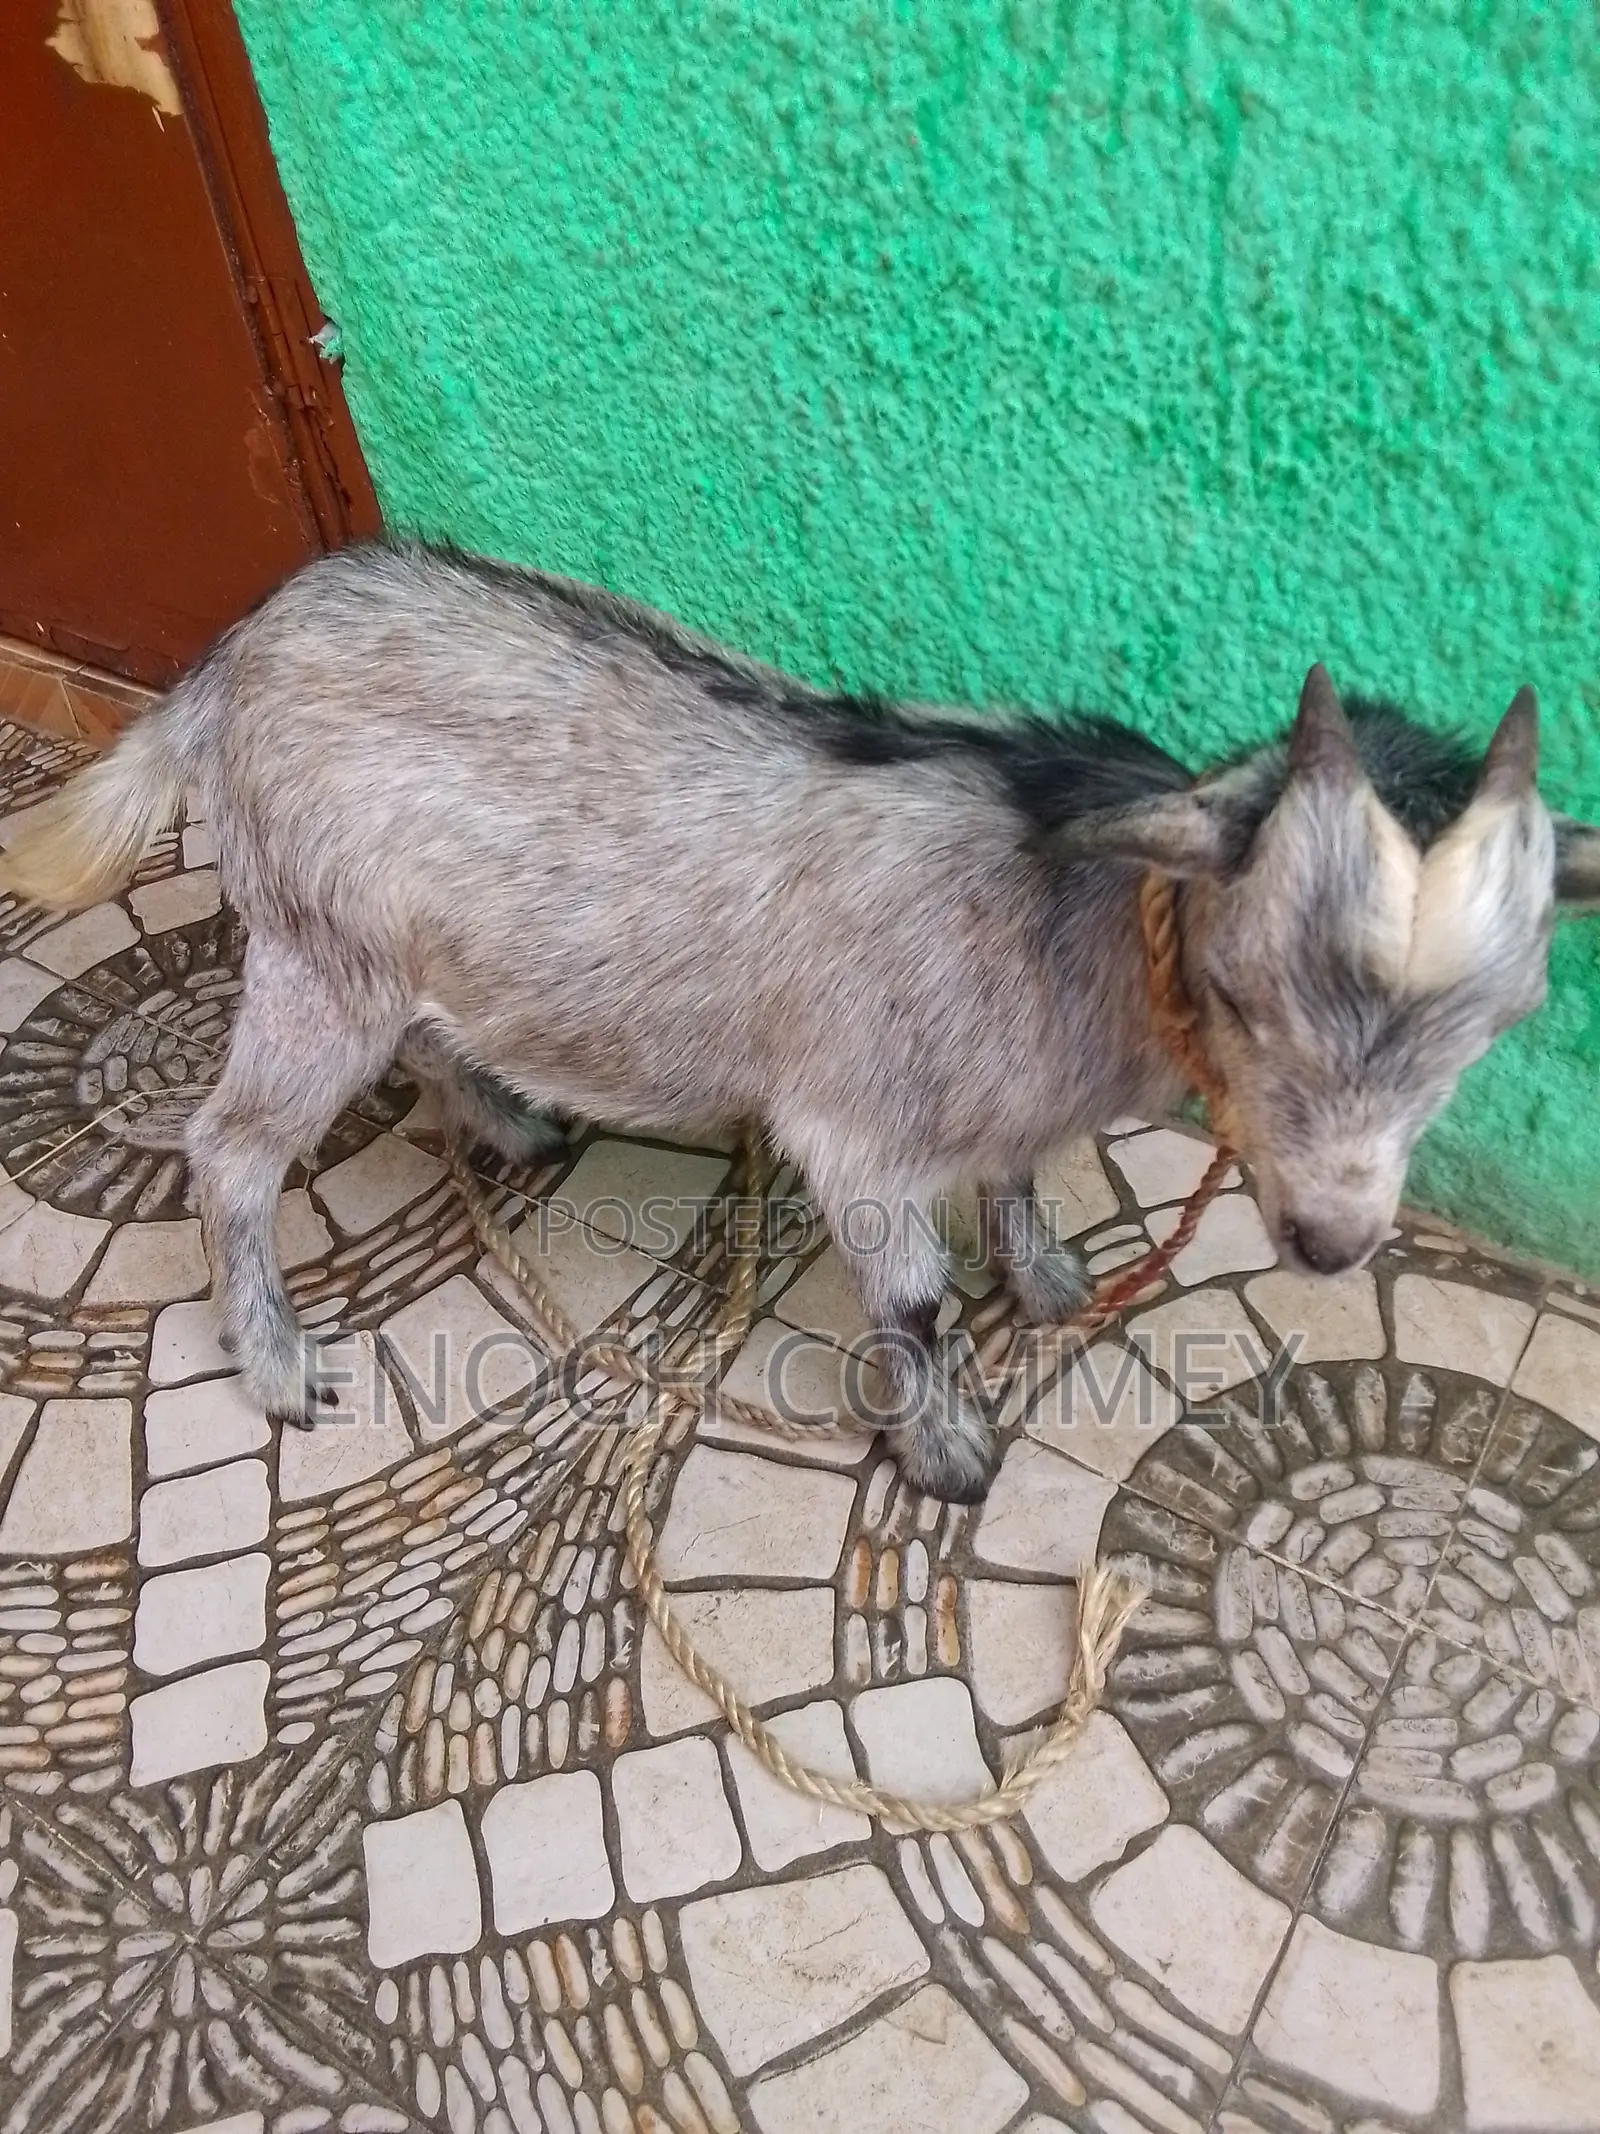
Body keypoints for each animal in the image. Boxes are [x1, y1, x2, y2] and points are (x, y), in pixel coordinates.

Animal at [4, 542, 1596, 1501]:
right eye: (1249, 988)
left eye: (1496, 1020)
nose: (1329, 1240)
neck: (1066, 926)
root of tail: (229, 661)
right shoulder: (853, 1126)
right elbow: (912, 1298)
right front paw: (948, 1449)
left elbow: (1015, 1177)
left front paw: (1048, 1275)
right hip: (314, 946)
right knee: (230, 1147)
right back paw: (276, 1358)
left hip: (383, 940)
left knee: (417, 1032)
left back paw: (500, 1117)